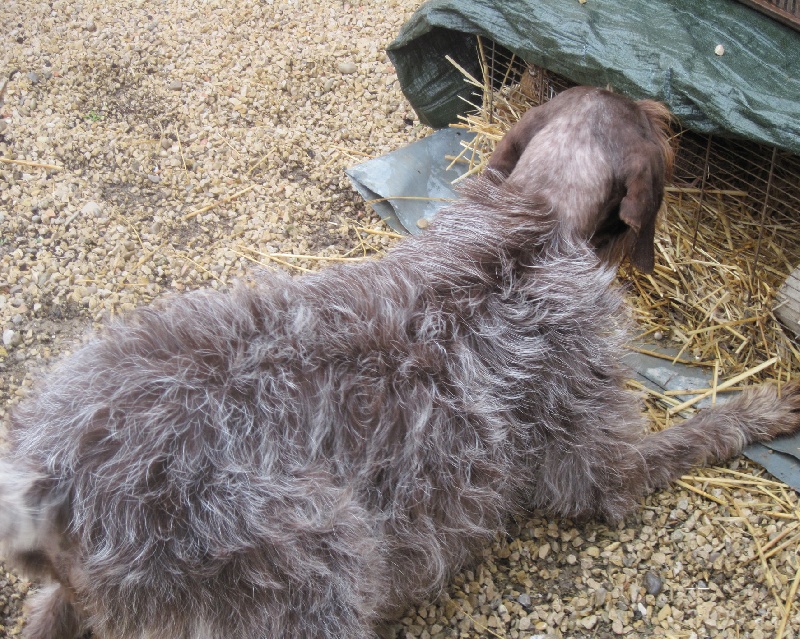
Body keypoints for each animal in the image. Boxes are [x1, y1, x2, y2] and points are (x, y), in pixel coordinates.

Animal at [1, 86, 800, 639]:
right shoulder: (601, 465)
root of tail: (56, 488)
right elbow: (696, 434)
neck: (531, 222)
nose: (670, 110)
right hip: (318, 568)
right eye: (651, 126)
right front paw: (764, 404)